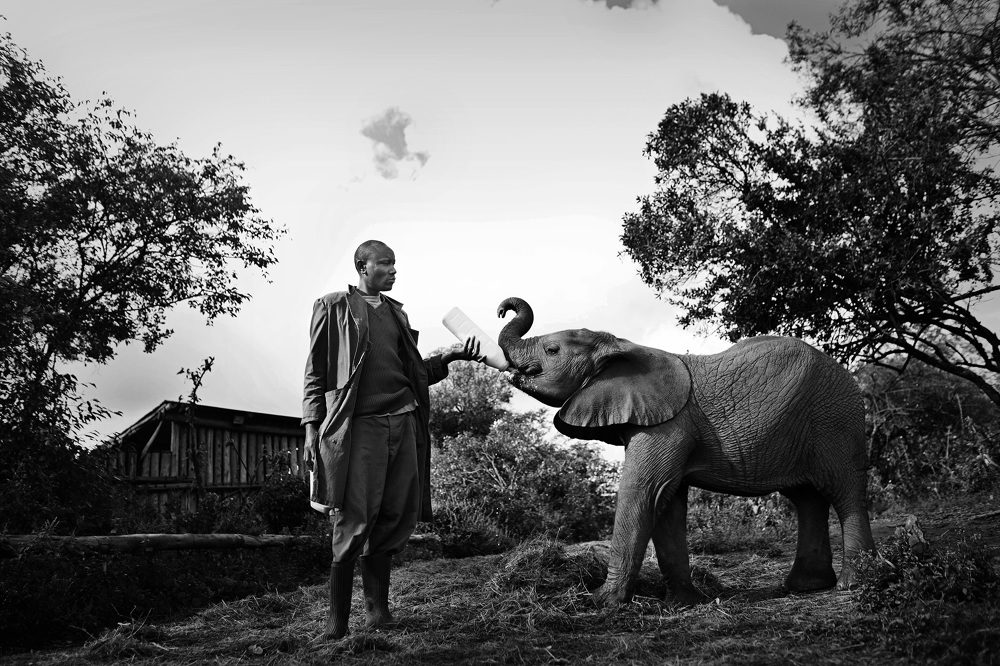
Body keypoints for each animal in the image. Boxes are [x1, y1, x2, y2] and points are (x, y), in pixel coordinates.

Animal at [495, 297, 875, 607]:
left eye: (552, 350)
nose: (503, 308)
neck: (620, 343)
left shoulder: (670, 425)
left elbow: (643, 491)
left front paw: (602, 602)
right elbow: (666, 500)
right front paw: (684, 603)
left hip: (836, 421)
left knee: (845, 492)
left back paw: (852, 586)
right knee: (807, 499)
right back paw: (806, 587)